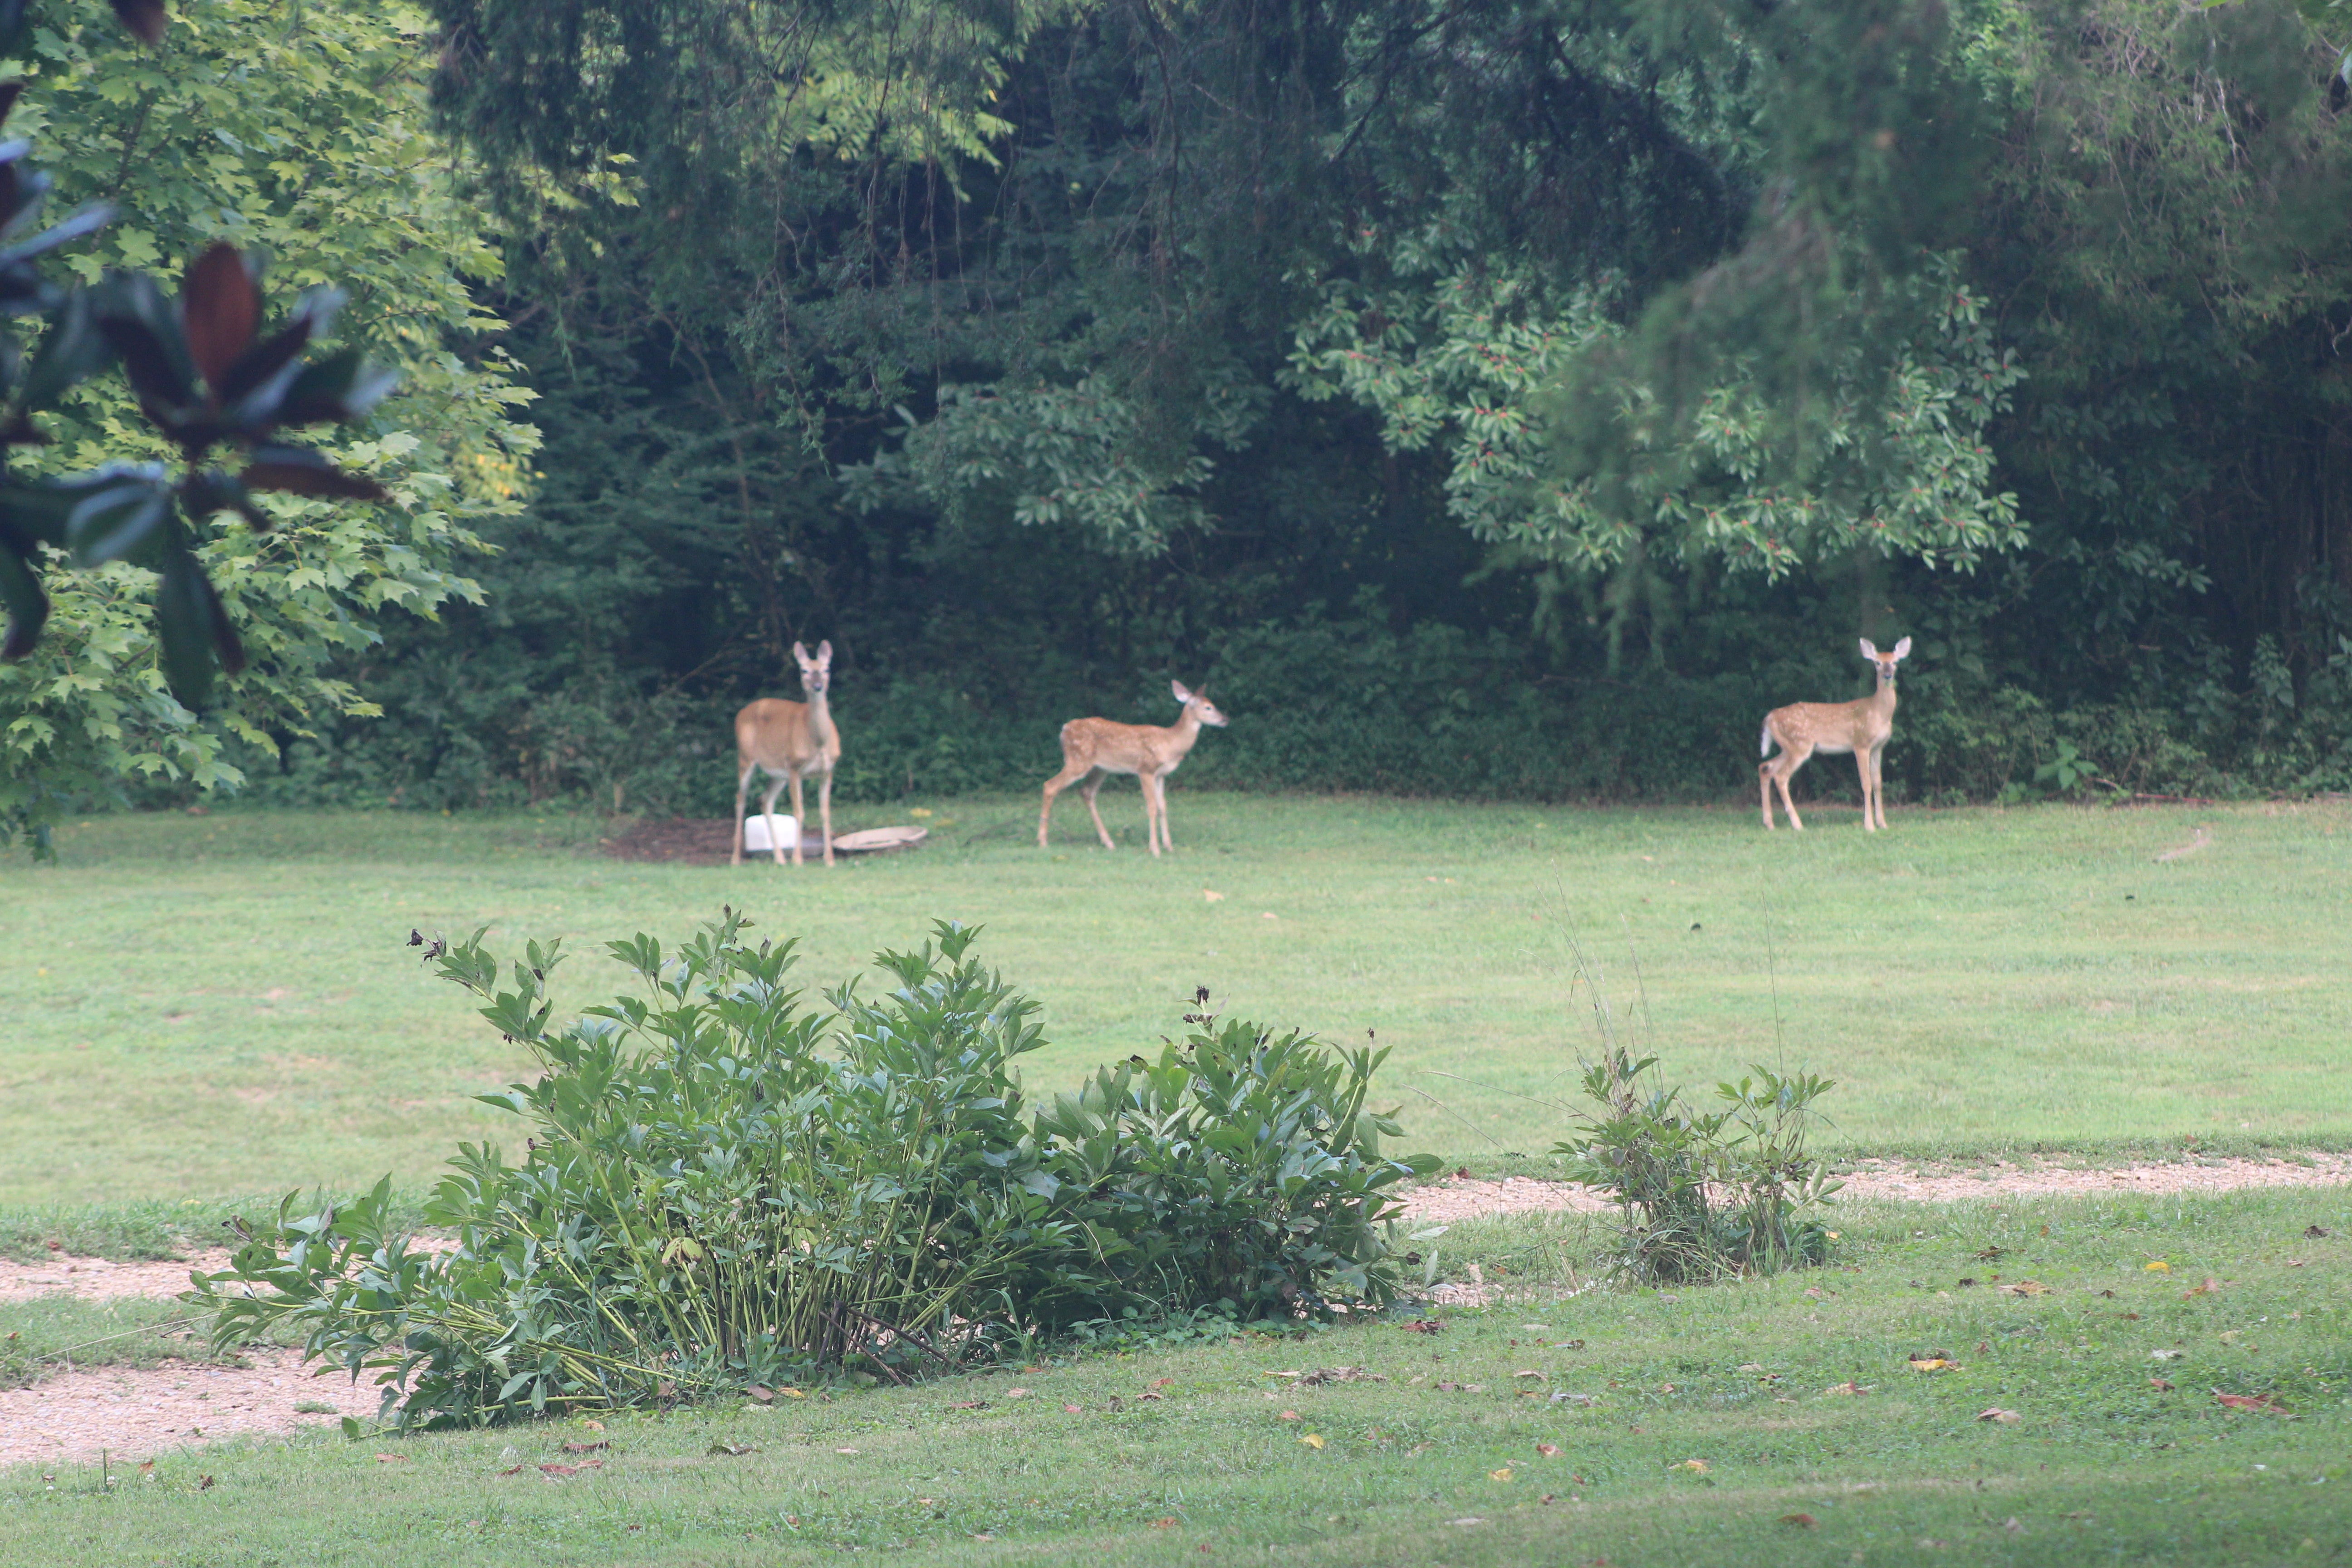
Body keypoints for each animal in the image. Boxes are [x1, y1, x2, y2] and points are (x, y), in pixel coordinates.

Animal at [738, 644, 851, 879]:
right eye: (804, 670)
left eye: (826, 669)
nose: (817, 686)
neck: (818, 743)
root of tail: (741, 712)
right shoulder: (794, 767)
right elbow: (800, 812)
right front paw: (798, 860)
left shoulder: (828, 771)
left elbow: (826, 812)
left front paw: (830, 860)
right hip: (746, 758)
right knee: (741, 800)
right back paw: (736, 859)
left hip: (777, 773)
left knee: (765, 800)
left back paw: (779, 859)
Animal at [1044, 681, 1232, 860]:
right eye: (1208, 707)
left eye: (1212, 704)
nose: (1225, 719)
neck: (1171, 743)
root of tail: (1064, 729)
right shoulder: (1146, 769)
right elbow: (1152, 807)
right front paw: (1155, 849)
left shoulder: (1161, 775)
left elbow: (1163, 807)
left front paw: (1169, 846)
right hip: (1078, 759)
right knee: (1050, 786)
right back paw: (1043, 841)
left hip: (1100, 768)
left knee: (1086, 792)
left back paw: (1108, 842)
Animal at [1769, 639, 1910, 832]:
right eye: (1877, 663)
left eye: (1895, 662)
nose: (1888, 675)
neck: (1879, 713)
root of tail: (1770, 717)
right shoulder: (1861, 743)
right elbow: (1866, 783)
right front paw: (1869, 825)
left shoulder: (1878, 747)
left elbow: (1878, 783)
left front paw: (1882, 823)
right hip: (1800, 745)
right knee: (1780, 776)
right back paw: (1797, 824)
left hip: (1788, 747)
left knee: (1765, 768)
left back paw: (1770, 823)